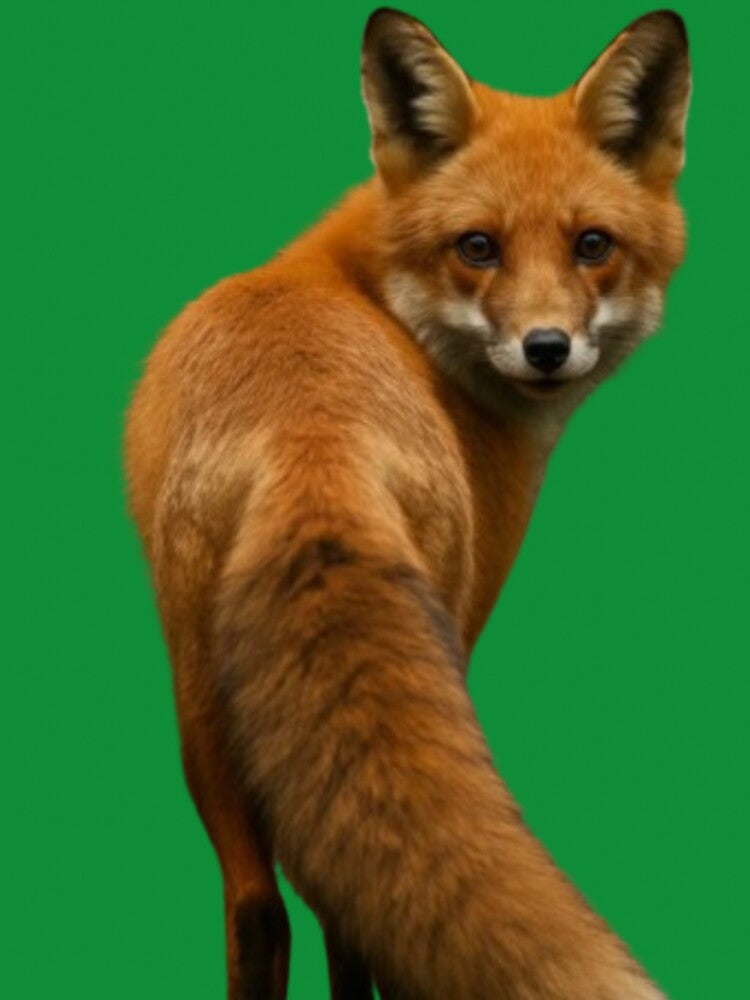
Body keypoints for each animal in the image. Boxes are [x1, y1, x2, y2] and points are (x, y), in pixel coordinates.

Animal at [125, 7, 690, 999]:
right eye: (478, 247)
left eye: (592, 245)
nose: (547, 347)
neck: (369, 292)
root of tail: (312, 441)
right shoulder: (465, 616)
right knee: (340, 916)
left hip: (201, 706)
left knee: (262, 907)